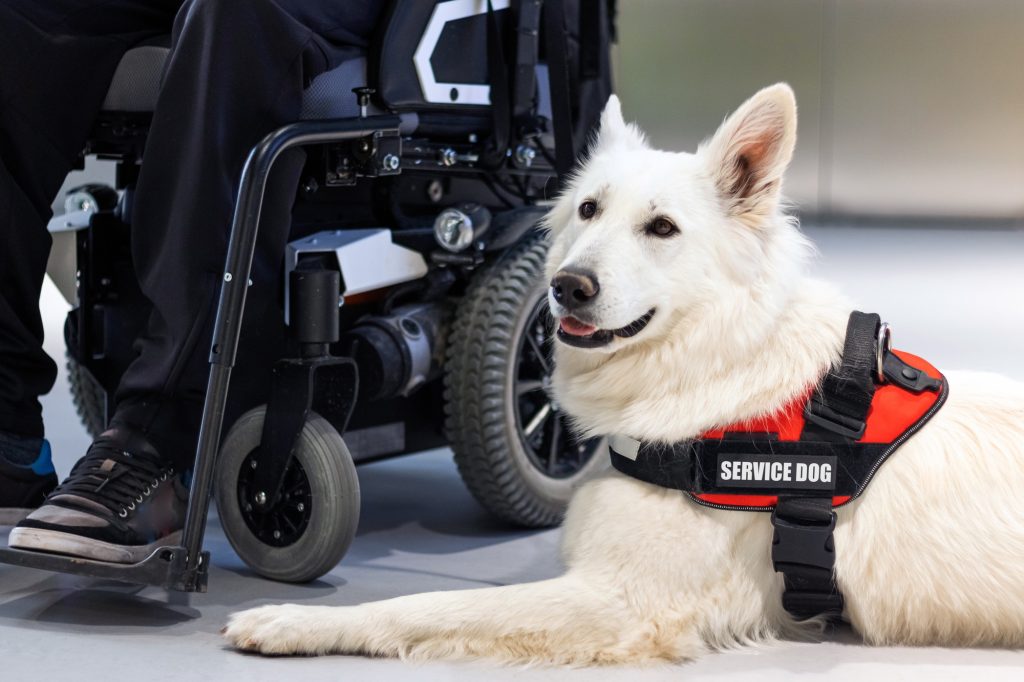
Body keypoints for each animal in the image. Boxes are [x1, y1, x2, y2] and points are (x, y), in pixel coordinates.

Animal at [224, 83, 1024, 659]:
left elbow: (425, 605)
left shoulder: (622, 602)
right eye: (587, 210)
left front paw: (290, 622)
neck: (714, 368)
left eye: (661, 228)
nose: (565, 287)